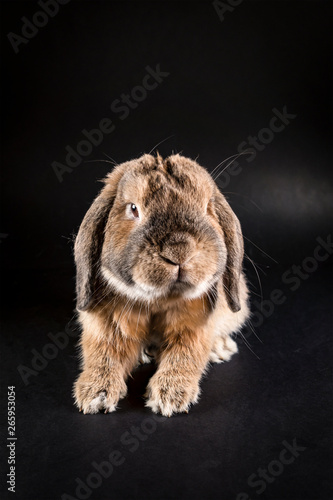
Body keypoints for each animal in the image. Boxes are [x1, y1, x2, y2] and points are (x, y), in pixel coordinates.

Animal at [73, 153, 249, 418]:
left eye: (207, 207)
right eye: (133, 209)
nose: (179, 250)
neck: (159, 299)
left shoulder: (195, 327)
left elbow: (185, 355)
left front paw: (170, 398)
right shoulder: (105, 324)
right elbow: (103, 354)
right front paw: (95, 395)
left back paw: (220, 349)